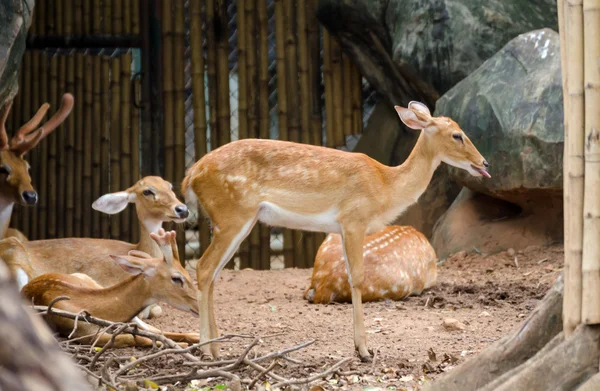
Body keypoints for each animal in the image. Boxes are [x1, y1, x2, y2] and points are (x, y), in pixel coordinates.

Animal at [21, 228, 199, 348]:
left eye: (186, 272)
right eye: (176, 278)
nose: (198, 304)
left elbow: (153, 334)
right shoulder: (84, 334)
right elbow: (139, 338)